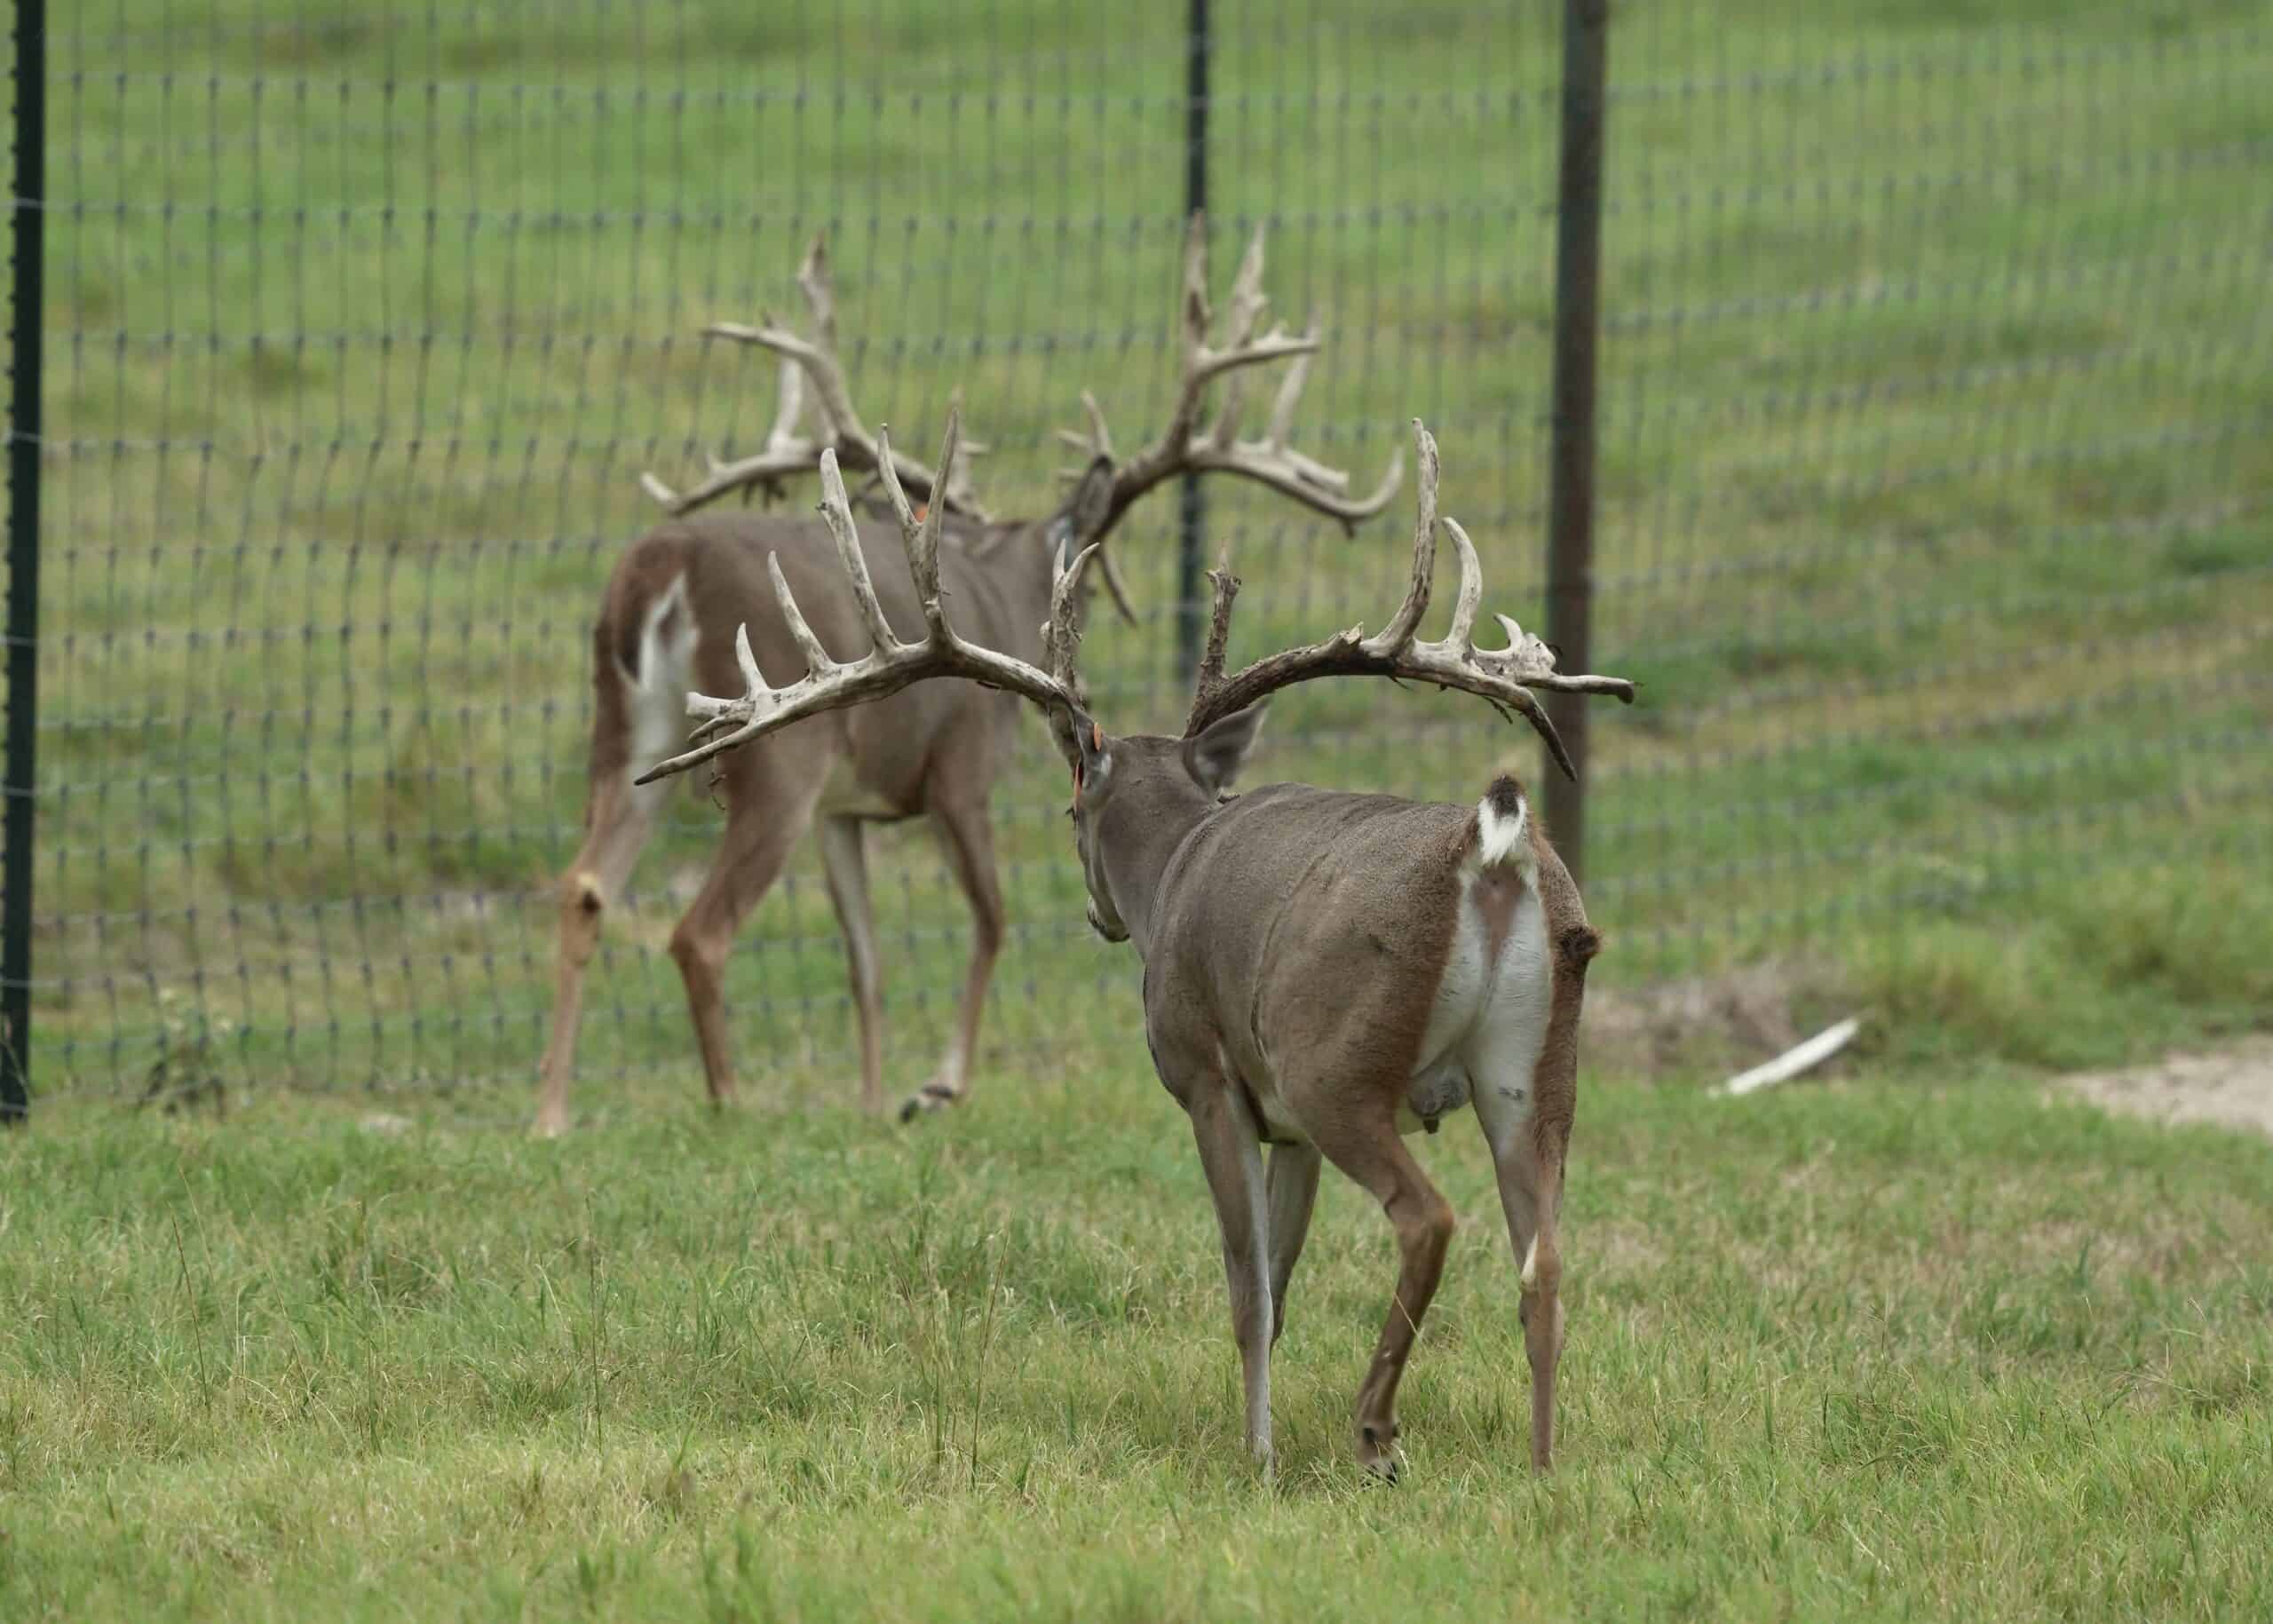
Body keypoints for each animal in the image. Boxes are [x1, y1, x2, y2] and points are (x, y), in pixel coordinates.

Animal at [534, 219, 1403, 1136]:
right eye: (1092, 577)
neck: (1000, 584)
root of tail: (654, 573)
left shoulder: (847, 807)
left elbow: (867, 960)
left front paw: (874, 1102)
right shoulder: (961, 769)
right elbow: (990, 918)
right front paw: (940, 1084)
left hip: (630, 734)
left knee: (585, 886)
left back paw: (552, 1112)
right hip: (779, 759)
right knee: (699, 931)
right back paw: (728, 1102)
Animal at [631, 412, 1635, 1479]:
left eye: (1070, 806)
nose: (1100, 914)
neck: (1176, 864)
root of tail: (1493, 848)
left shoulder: (1206, 1073)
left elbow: (1250, 1291)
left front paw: (1257, 1456)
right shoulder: (1283, 1125)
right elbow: (1280, 1283)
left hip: (1337, 1059)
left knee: (1429, 1216)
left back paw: (1376, 1429)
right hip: (1532, 1071)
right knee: (1544, 1262)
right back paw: (1540, 1465)